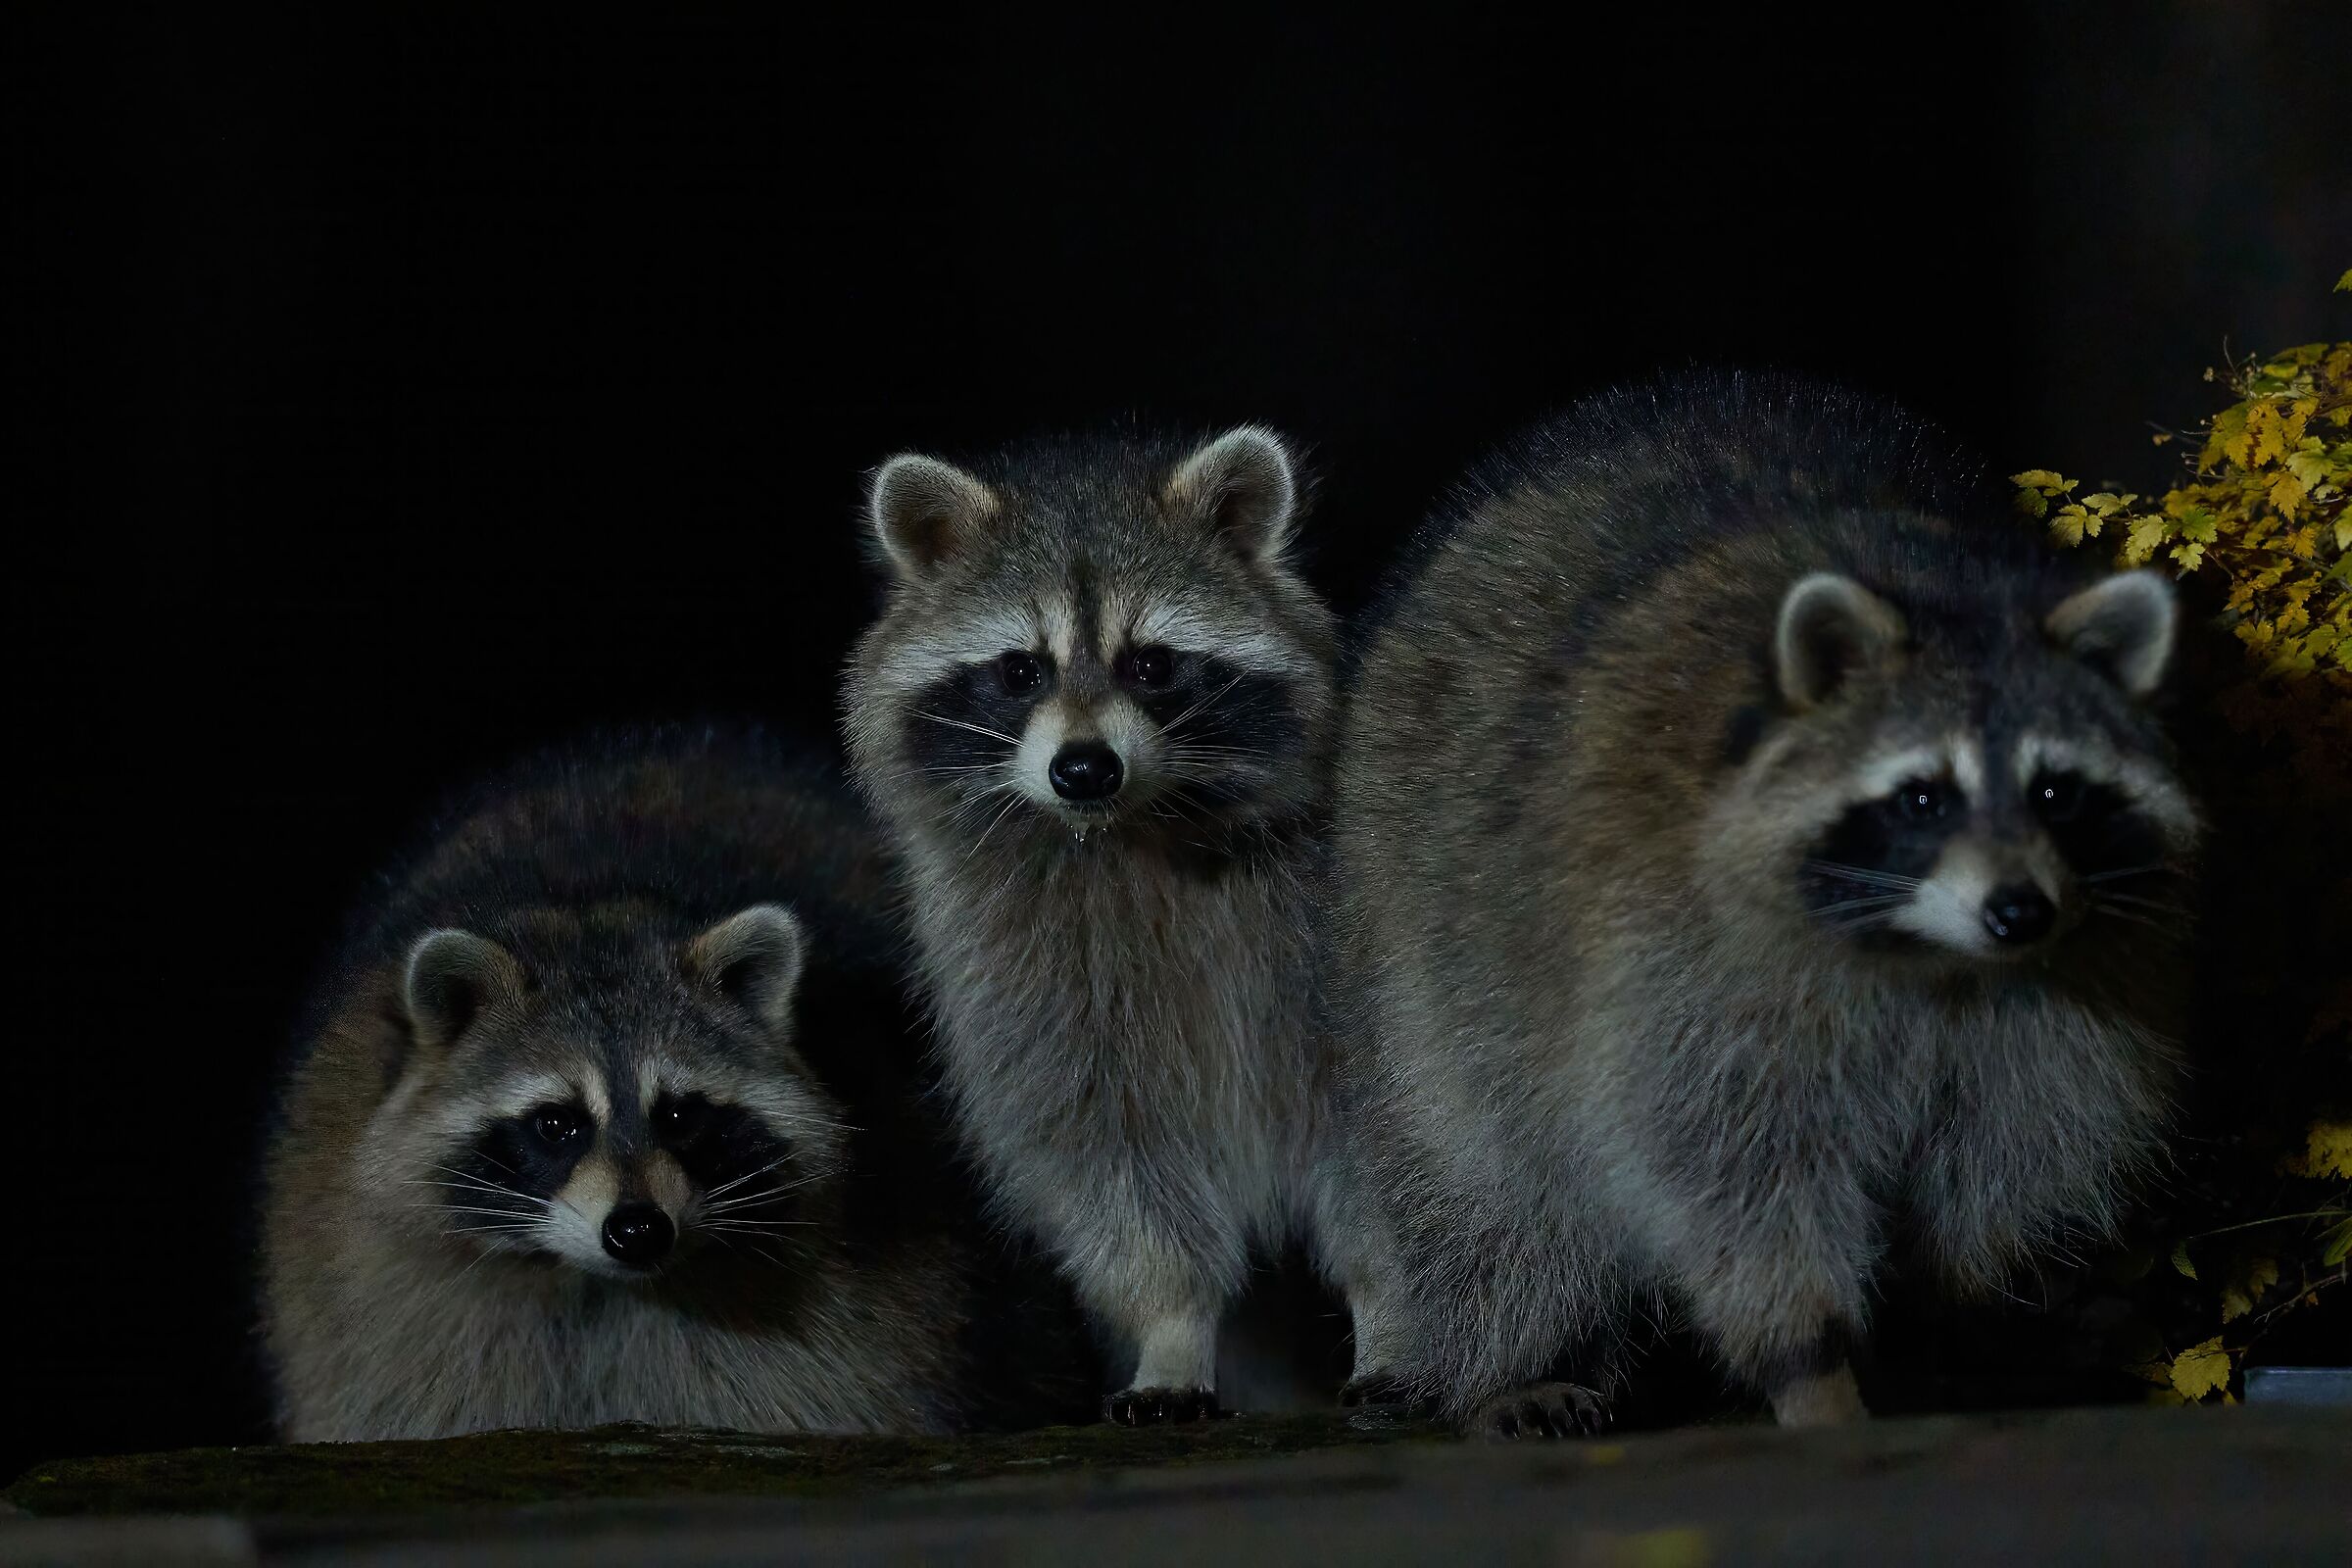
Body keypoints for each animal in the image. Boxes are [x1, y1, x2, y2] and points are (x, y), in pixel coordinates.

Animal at [842, 427, 1352, 1422]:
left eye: (1149, 664)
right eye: (1020, 670)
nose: (1084, 769)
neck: (1127, 828)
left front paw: (1392, 1313)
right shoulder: (1019, 974)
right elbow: (1108, 1161)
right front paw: (1172, 1327)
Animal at [1333, 372, 2199, 1434]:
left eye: (2055, 792)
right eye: (1923, 797)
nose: (2018, 912)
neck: (1934, 956)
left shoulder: (2076, 992)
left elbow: (2009, 1167)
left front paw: (1946, 1328)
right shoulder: (1672, 956)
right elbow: (1725, 1170)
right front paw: (1812, 1362)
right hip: (1419, 908)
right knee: (1481, 1172)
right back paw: (1509, 1356)